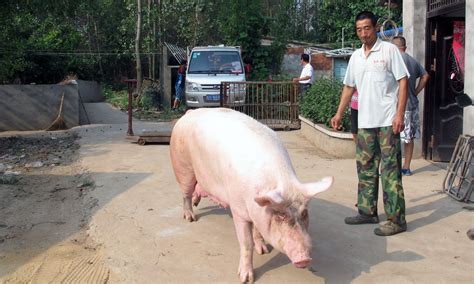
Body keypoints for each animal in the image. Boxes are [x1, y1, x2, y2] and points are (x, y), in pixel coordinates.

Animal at [170, 108, 334, 282]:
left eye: (304, 213)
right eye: (280, 216)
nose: (305, 259)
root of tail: (189, 113)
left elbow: (257, 230)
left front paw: (263, 251)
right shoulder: (238, 210)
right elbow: (246, 243)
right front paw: (245, 279)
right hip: (182, 165)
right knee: (186, 193)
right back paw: (190, 218)